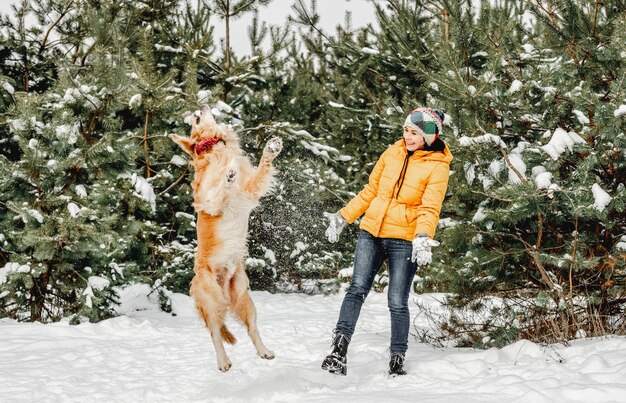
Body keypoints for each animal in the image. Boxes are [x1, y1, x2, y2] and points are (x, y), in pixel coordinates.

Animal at [168, 105, 280, 374]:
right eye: (195, 120)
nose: (200, 107)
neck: (215, 148)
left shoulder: (251, 188)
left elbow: (263, 168)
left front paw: (271, 148)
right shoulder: (208, 200)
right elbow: (219, 189)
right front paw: (227, 175)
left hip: (244, 298)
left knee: (251, 328)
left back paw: (264, 351)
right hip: (212, 302)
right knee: (215, 333)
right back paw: (223, 362)